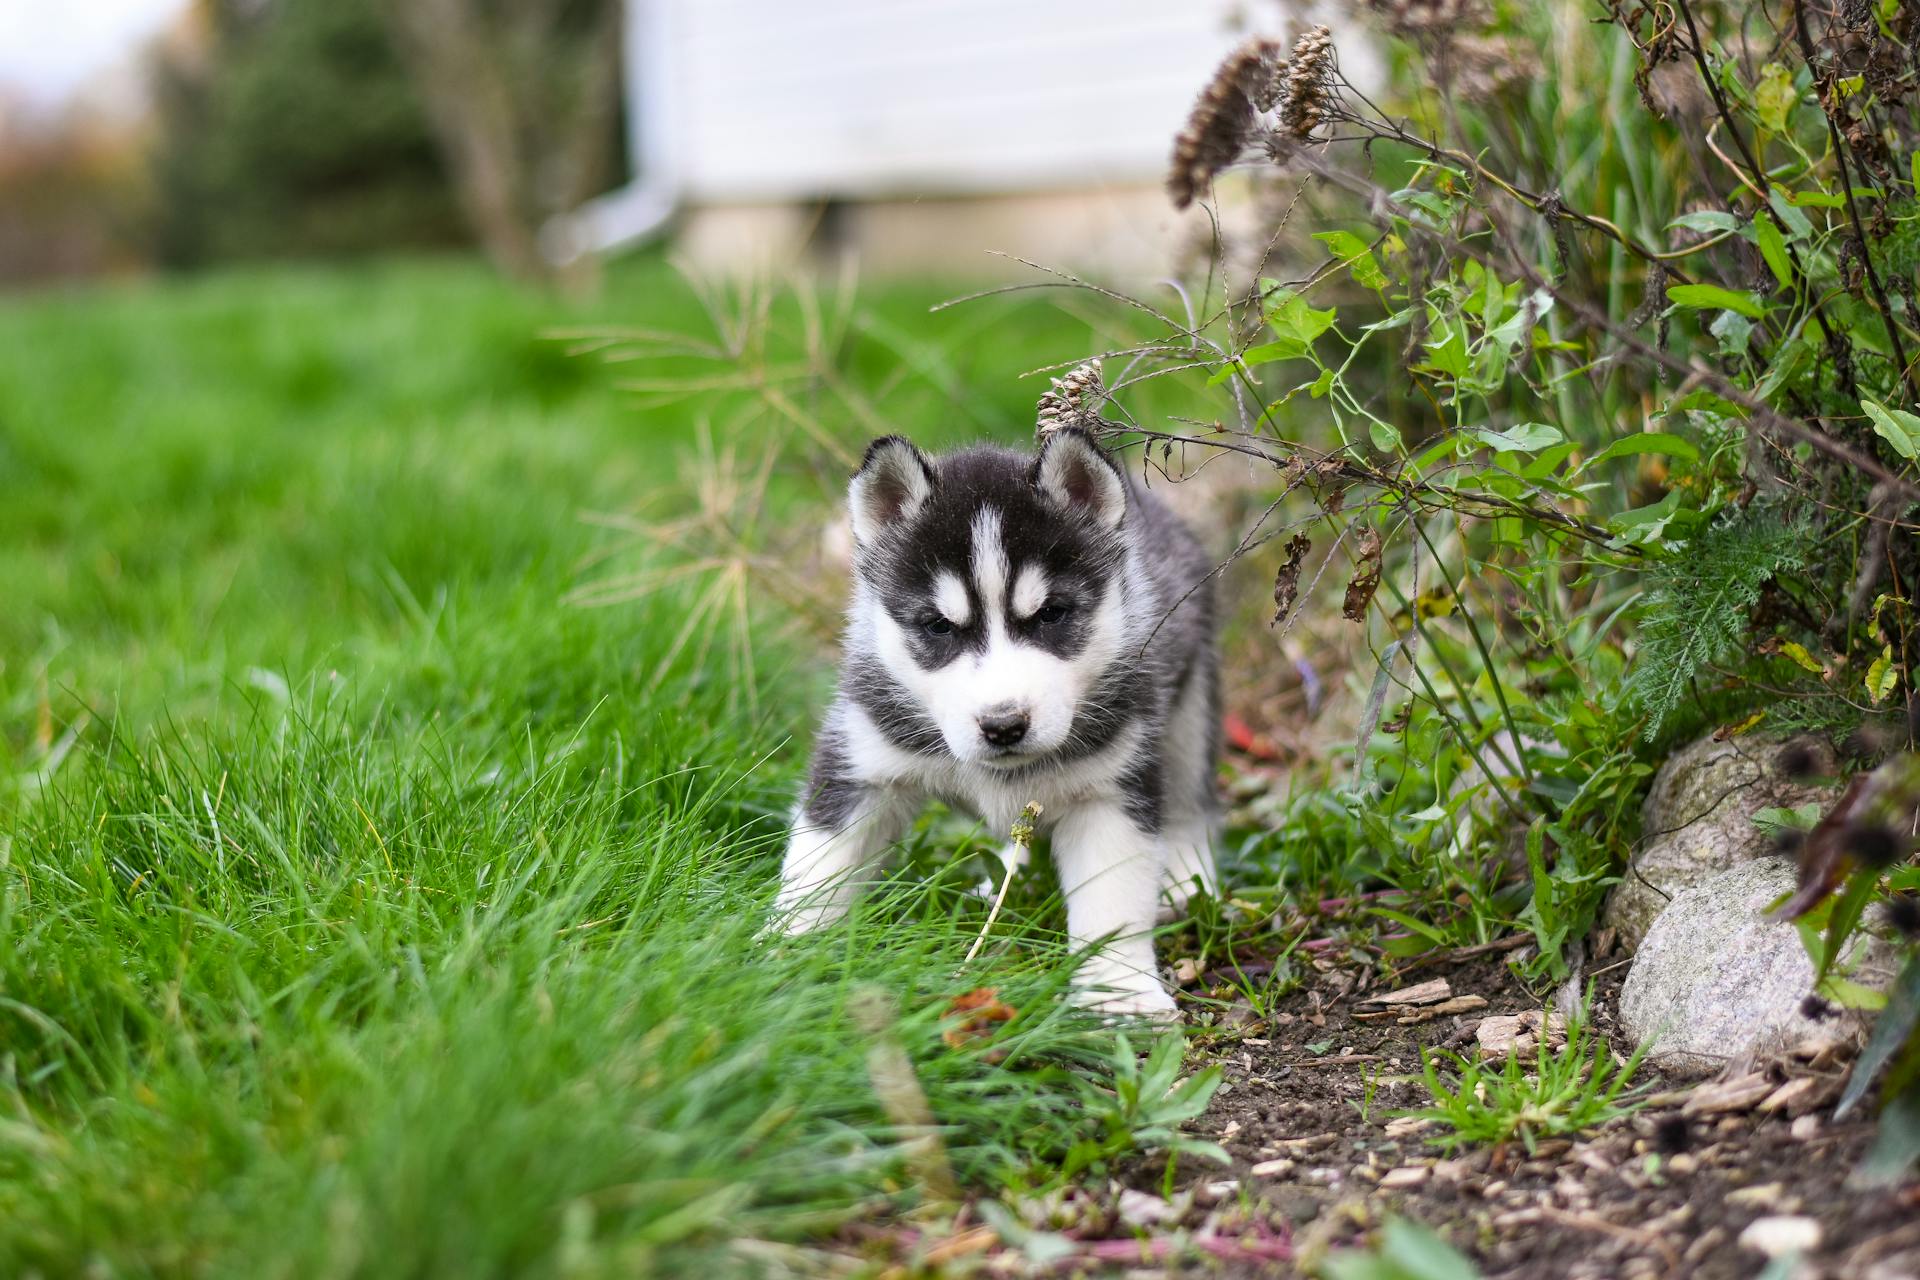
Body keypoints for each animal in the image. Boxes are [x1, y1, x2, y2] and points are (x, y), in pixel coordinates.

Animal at [768, 429, 1205, 1020]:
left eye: (1050, 615)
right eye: (938, 626)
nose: (1003, 726)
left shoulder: (1112, 786)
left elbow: (1112, 899)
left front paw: (1119, 994)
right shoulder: (861, 760)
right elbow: (820, 864)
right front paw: (787, 952)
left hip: (1191, 704)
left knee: (1193, 793)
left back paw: (1187, 873)